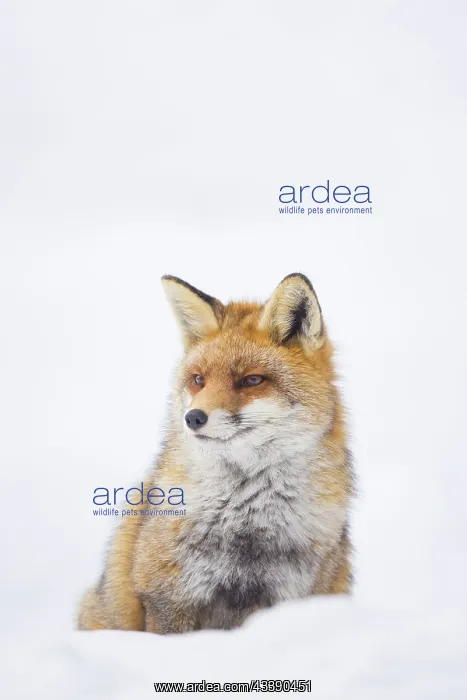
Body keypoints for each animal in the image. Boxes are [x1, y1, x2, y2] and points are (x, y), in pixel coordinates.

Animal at [77, 273, 354, 633]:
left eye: (252, 380)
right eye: (198, 380)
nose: (193, 418)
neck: (246, 515)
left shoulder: (293, 594)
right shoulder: (167, 595)